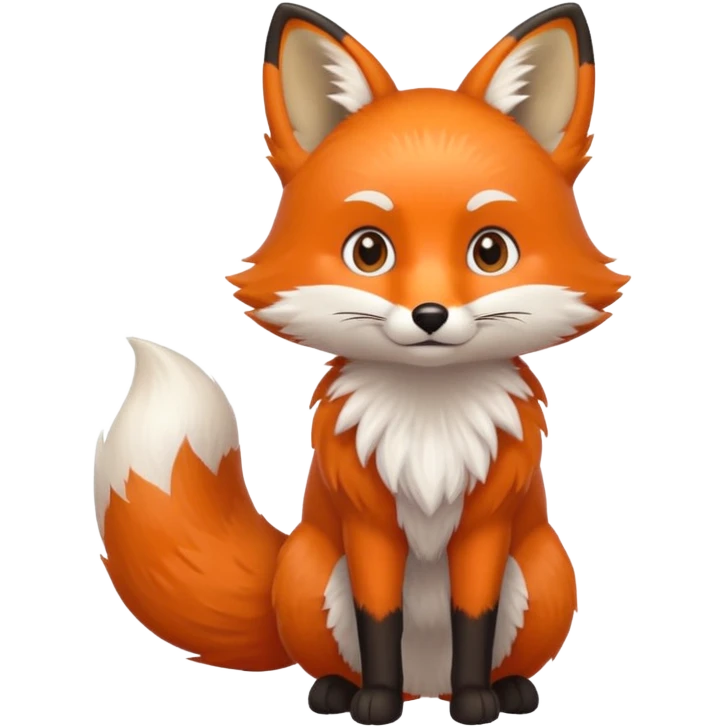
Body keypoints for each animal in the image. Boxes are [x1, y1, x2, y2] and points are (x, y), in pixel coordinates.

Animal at [93, 2, 625, 725]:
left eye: (490, 251)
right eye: (368, 250)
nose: (429, 315)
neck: (429, 422)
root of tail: (424, 686)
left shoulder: (485, 524)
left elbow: (473, 618)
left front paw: (476, 701)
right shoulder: (366, 523)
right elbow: (380, 618)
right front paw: (374, 700)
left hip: (544, 573)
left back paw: (508, 687)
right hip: (313, 574)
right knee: (338, 656)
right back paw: (341, 691)